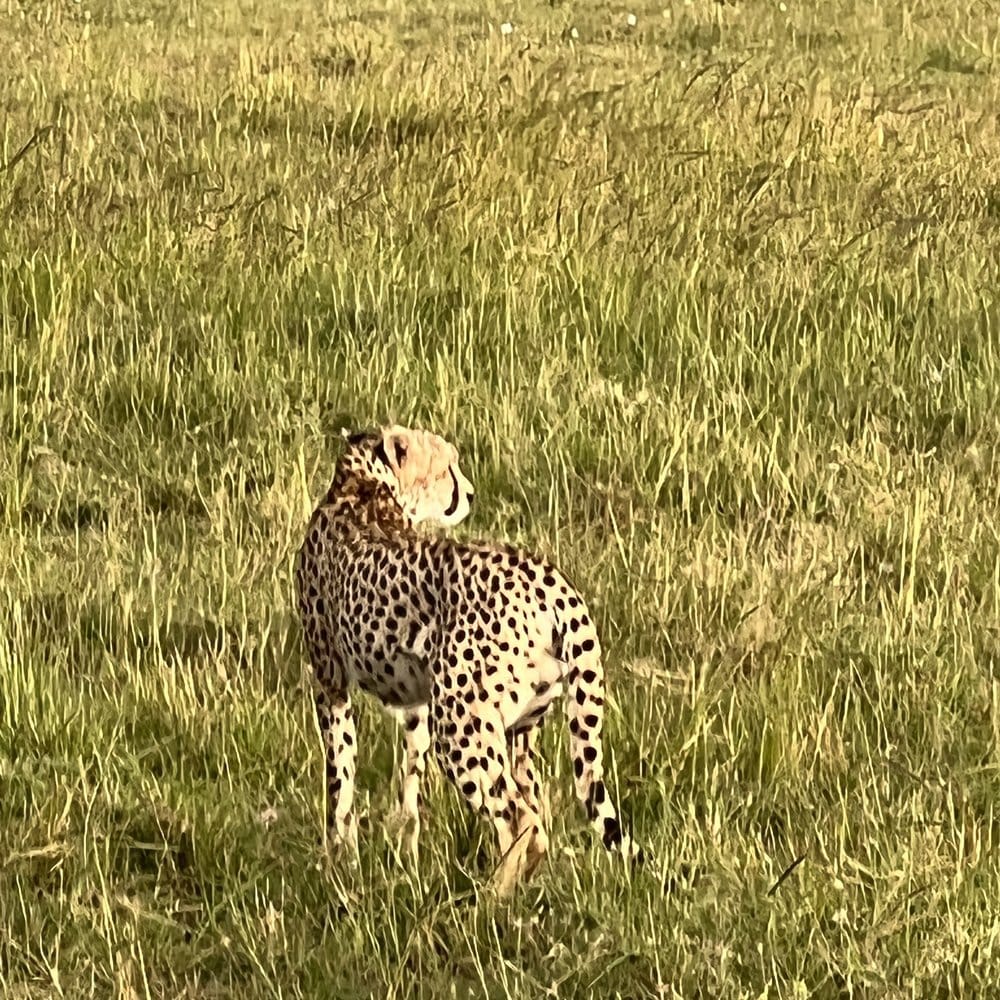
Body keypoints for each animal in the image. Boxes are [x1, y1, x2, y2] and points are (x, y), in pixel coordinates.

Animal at [295, 424, 635, 894]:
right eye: (446, 466)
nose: (470, 493)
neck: (364, 481)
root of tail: (548, 577)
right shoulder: (417, 706)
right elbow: (409, 784)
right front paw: (405, 858)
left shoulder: (330, 680)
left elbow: (339, 776)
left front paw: (337, 859)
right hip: (522, 724)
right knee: (537, 808)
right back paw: (522, 888)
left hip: (462, 727)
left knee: (519, 817)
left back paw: (491, 897)